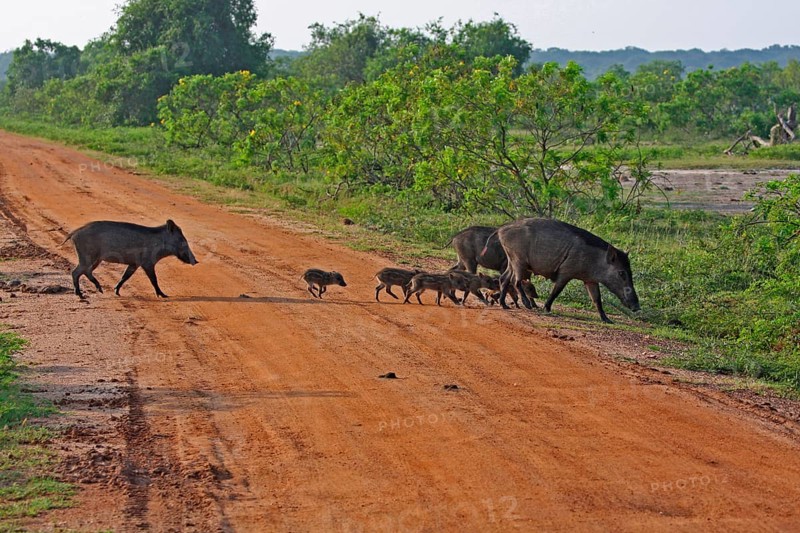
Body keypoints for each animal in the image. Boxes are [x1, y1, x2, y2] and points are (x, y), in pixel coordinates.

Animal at [64, 219, 198, 299]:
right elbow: (154, 280)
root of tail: (73, 234)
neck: (160, 242)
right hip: (88, 258)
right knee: (76, 272)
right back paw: (81, 295)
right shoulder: (147, 263)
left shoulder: (134, 264)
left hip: (95, 260)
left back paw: (98, 290)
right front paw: (164, 295)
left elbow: (125, 277)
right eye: (181, 240)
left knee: (85, 272)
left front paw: (116, 292)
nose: (196, 261)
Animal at [497, 218, 640, 323]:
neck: (595, 260)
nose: (637, 307)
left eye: (630, 271)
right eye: (621, 273)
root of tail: (501, 230)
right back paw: (527, 305)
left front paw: (607, 320)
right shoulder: (566, 273)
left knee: (504, 279)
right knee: (516, 281)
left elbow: (597, 299)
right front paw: (546, 308)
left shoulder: (590, 280)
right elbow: (556, 291)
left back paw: (504, 305)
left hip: (511, 260)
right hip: (518, 260)